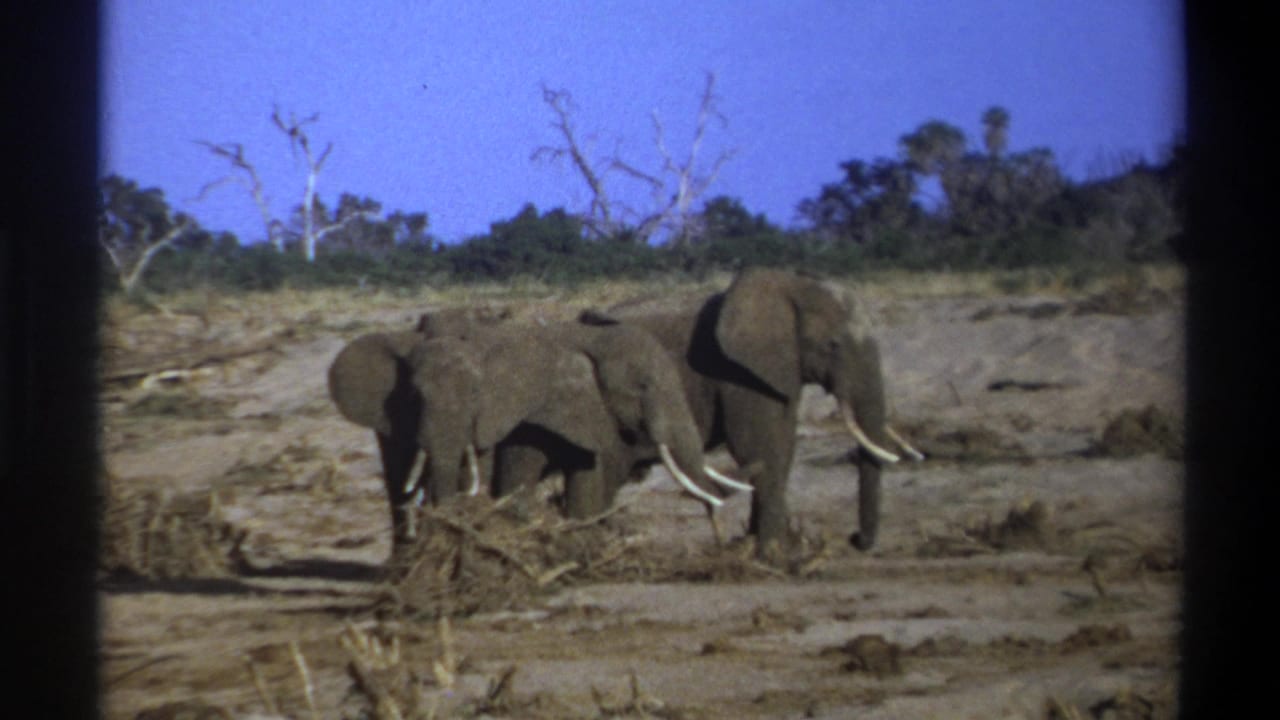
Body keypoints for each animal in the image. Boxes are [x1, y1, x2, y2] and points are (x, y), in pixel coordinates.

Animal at [578, 268, 921, 558]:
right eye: (832, 345)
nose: (854, 539)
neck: (789, 285)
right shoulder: (737, 370)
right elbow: (759, 444)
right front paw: (774, 554)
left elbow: (783, 444)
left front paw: (771, 547)